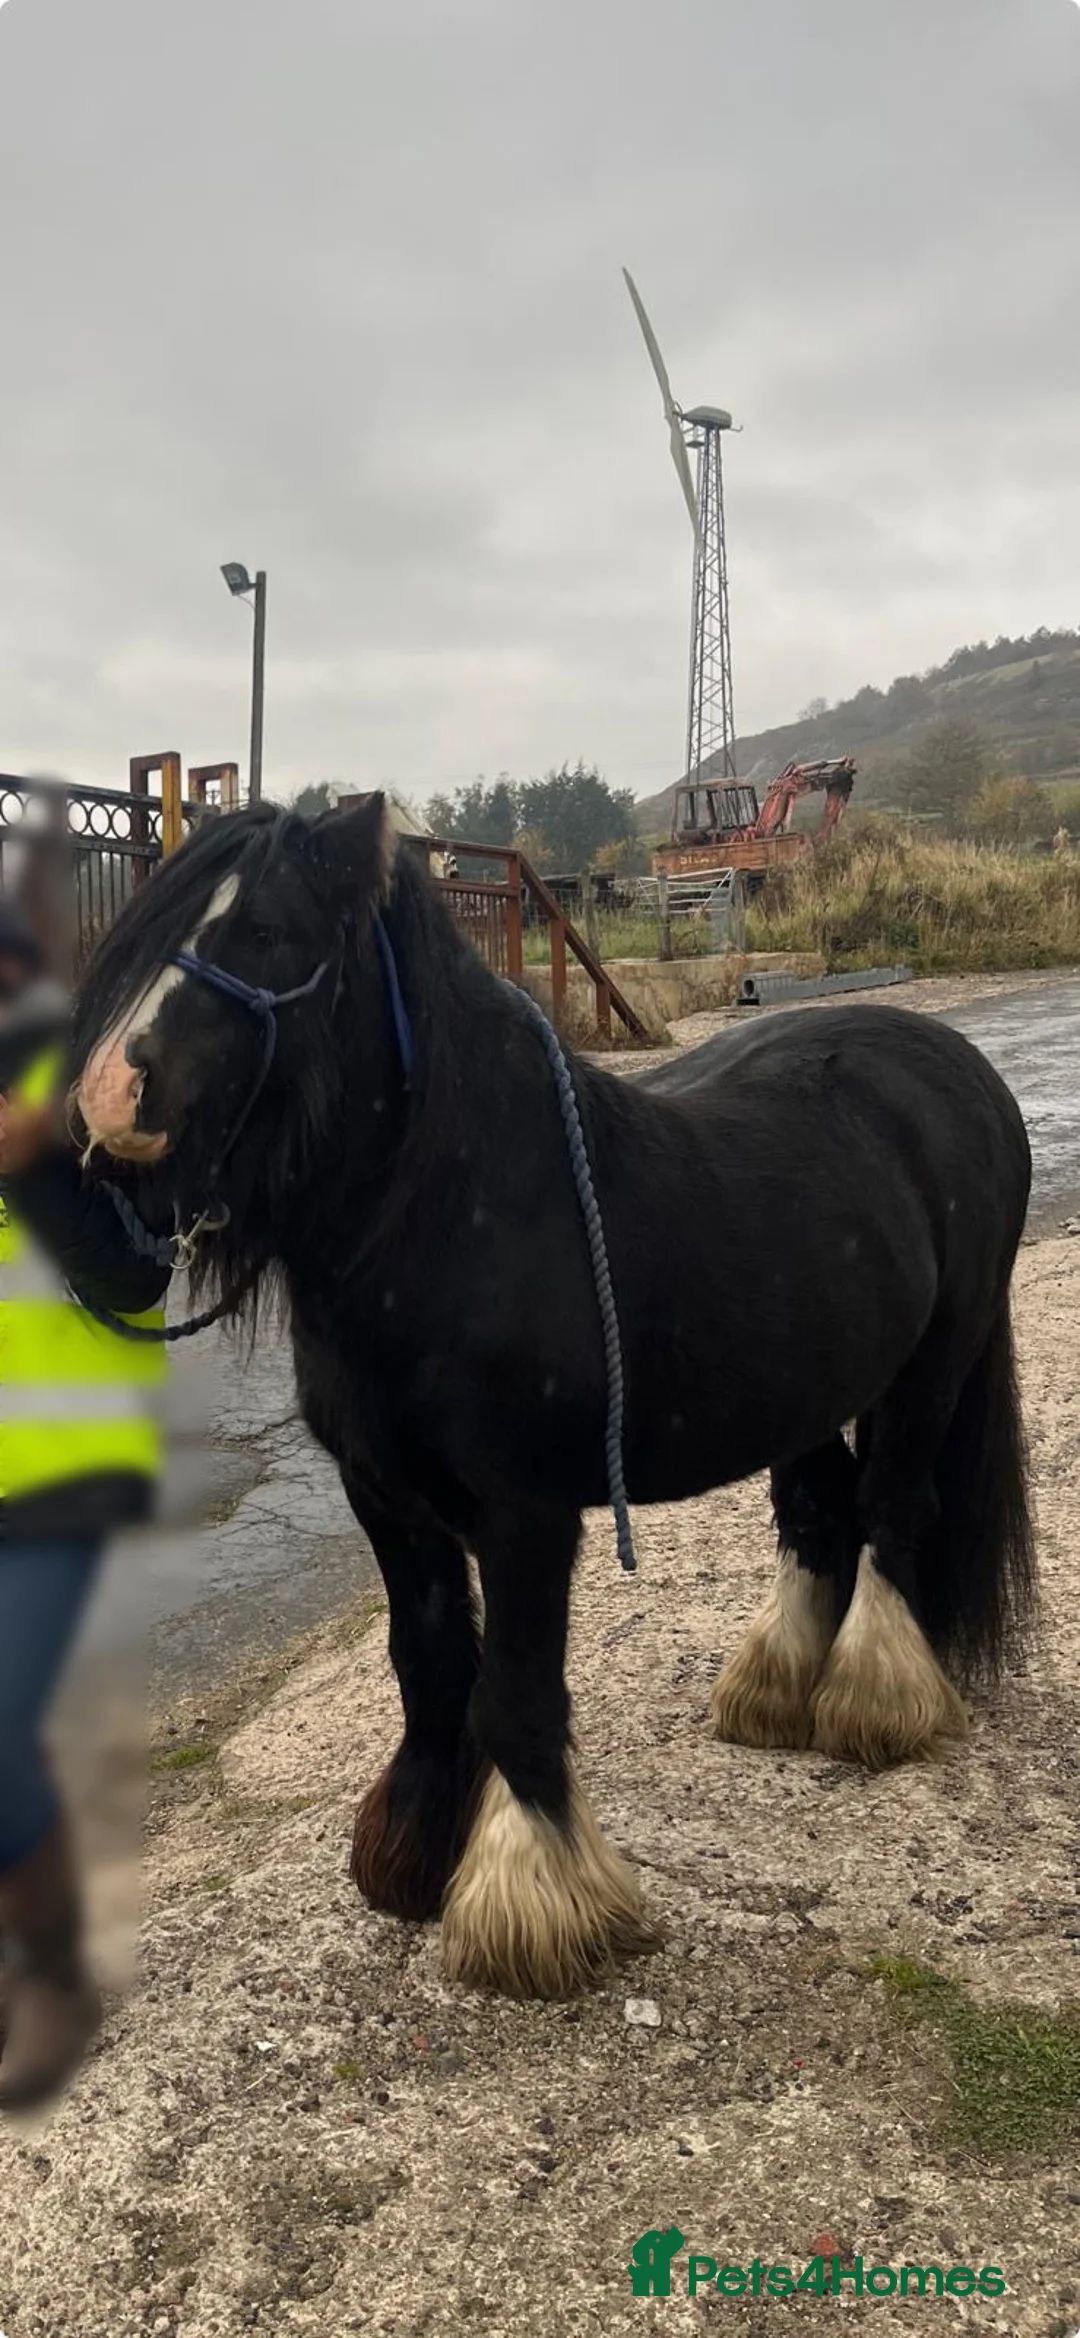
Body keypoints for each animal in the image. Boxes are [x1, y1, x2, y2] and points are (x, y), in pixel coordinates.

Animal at [71, 795, 1036, 1999]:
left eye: (268, 935)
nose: (108, 1099)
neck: (455, 1215)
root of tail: (960, 1069)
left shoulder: (526, 1515)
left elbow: (516, 1693)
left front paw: (532, 1903)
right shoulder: (384, 1501)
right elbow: (430, 1668)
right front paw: (414, 1854)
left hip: (933, 1364)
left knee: (896, 1513)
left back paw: (872, 1702)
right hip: (804, 1389)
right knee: (823, 1517)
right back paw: (777, 1694)